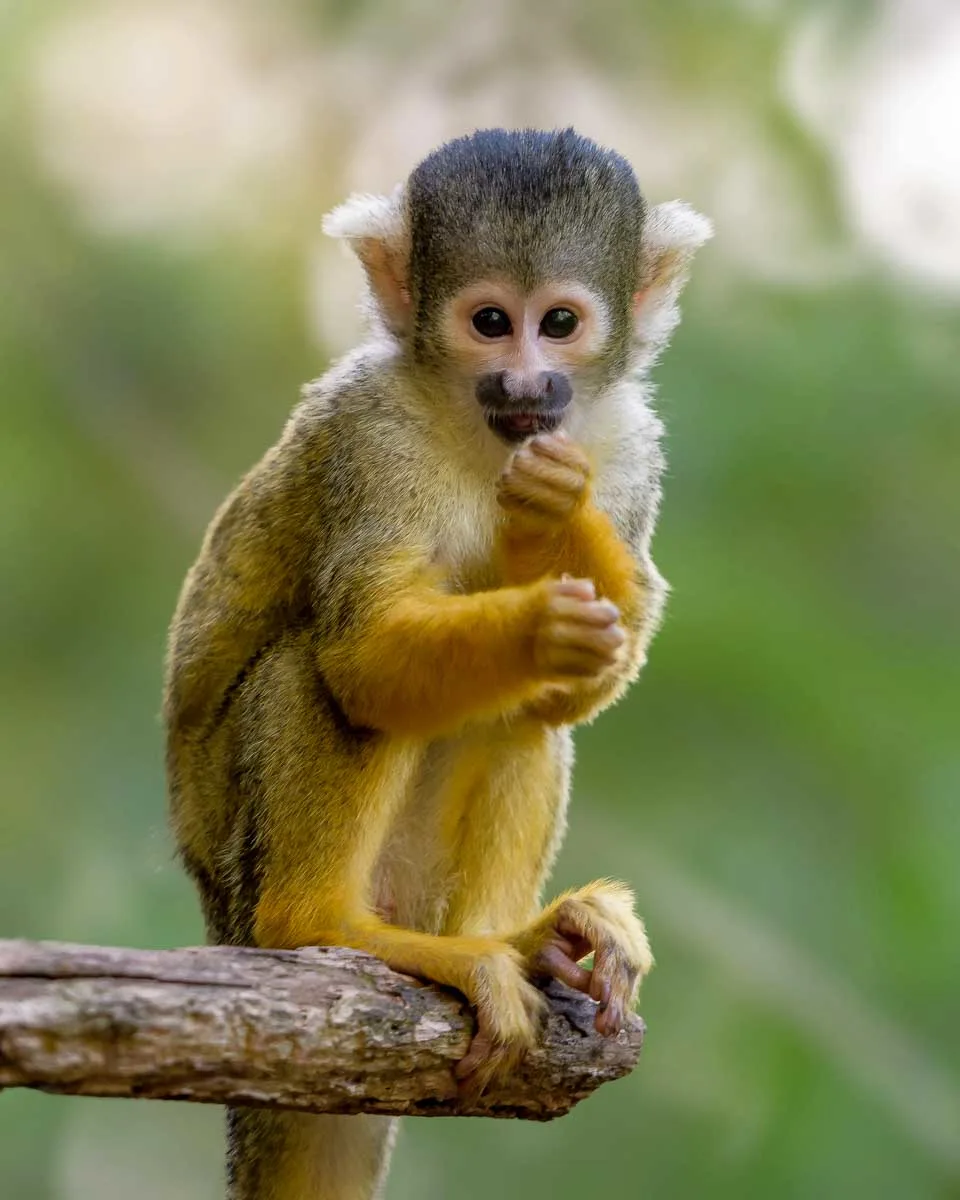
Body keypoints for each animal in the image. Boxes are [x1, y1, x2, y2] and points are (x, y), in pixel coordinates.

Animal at [164, 127, 711, 1200]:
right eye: (490, 322)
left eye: (560, 323)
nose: (529, 386)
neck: (479, 435)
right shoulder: (370, 438)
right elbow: (364, 655)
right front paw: (540, 613)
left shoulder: (632, 443)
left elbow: (602, 665)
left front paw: (559, 516)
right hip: (235, 858)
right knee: (326, 675)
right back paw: (325, 925)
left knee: (524, 716)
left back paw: (521, 942)